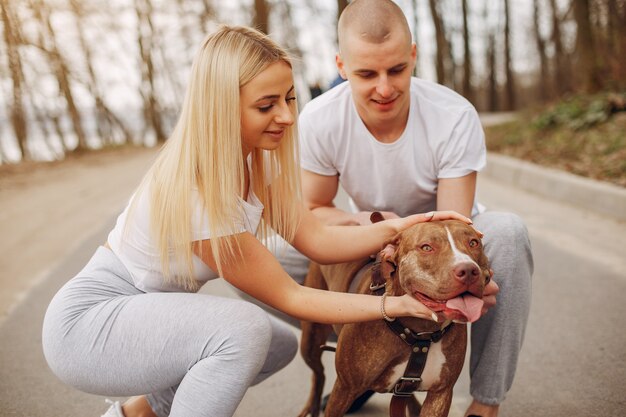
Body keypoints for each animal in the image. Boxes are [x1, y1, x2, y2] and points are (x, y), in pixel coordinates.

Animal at [294, 218, 490, 416]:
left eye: (473, 243)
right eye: (426, 247)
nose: (468, 270)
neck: (421, 334)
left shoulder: (440, 394)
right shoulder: (345, 388)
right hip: (310, 343)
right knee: (319, 374)